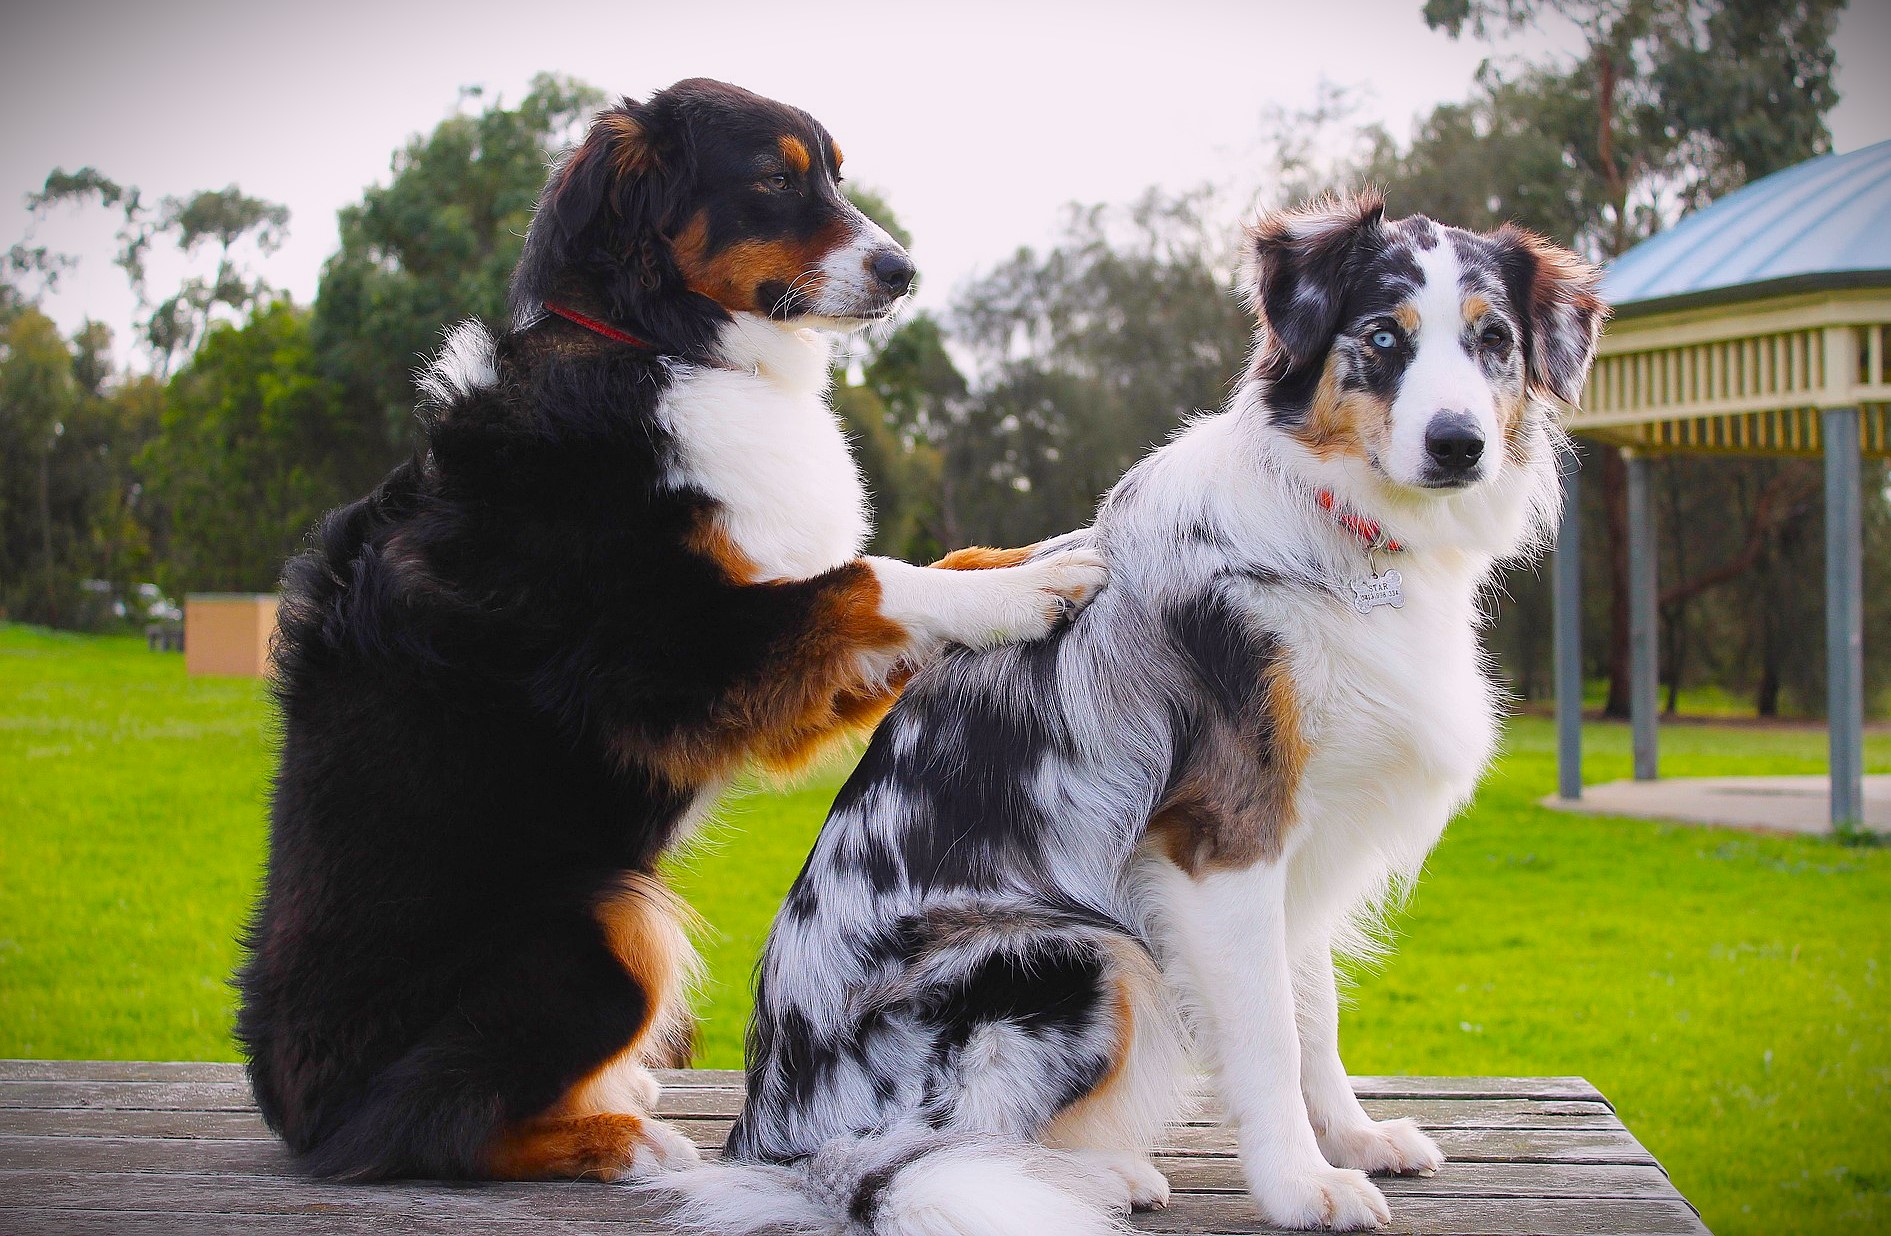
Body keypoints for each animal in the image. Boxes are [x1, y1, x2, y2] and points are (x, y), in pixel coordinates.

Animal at [232, 79, 1104, 1194]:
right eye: (772, 178)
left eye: (834, 175)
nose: (902, 270)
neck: (657, 343)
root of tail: (297, 1115)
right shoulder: (670, 658)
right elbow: (871, 579)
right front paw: (1034, 587)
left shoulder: (774, 667)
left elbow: (920, 570)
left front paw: (1027, 552)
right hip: (604, 926)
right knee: (426, 1127)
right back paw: (620, 1138)